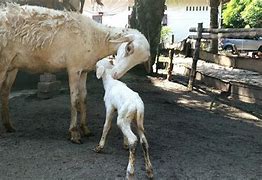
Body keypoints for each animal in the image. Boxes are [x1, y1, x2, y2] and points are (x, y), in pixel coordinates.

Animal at [0, 3, 149, 143]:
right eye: (129, 48)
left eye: (139, 62)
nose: (116, 75)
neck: (96, 38)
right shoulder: (74, 68)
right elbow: (74, 99)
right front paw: (74, 133)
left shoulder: (84, 71)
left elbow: (83, 99)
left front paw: (85, 129)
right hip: (3, 61)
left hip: (12, 66)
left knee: (5, 92)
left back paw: (9, 126)